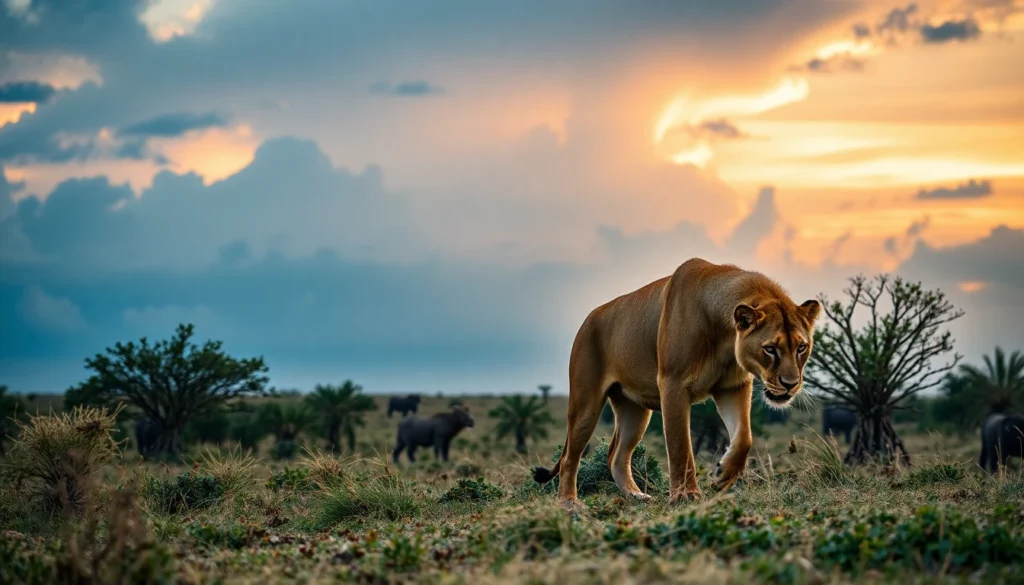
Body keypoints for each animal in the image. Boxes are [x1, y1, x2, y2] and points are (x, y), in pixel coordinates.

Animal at [533, 258, 820, 506]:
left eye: (801, 347)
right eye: (770, 349)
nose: (790, 384)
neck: (726, 337)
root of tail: (589, 317)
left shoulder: (732, 387)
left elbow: (744, 437)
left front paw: (723, 474)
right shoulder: (673, 384)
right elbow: (681, 446)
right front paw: (686, 495)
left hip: (634, 411)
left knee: (616, 456)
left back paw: (638, 497)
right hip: (586, 402)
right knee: (570, 457)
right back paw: (569, 503)